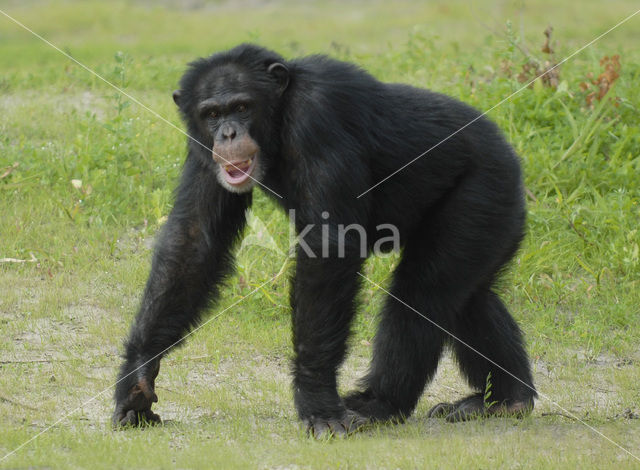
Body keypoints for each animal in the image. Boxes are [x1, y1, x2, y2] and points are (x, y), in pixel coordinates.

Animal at [114, 44, 536, 436]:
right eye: (212, 114)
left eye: (242, 106)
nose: (228, 133)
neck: (279, 117)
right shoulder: (201, 148)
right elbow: (194, 240)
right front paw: (137, 375)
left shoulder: (318, 117)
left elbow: (328, 247)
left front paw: (317, 398)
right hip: (492, 218)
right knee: (468, 297)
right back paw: (505, 399)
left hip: (484, 192)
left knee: (423, 293)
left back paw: (380, 404)